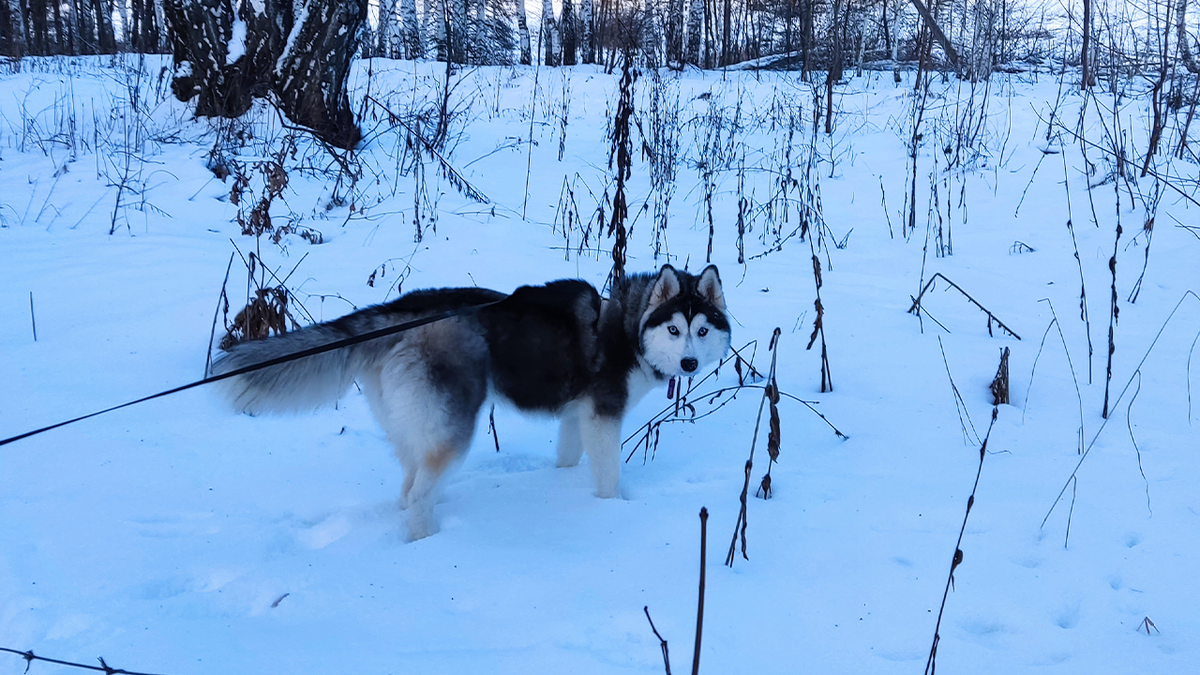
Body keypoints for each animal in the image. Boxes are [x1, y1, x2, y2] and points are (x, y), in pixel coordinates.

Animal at [211, 261, 724, 535]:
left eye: (701, 331)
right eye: (674, 329)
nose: (689, 364)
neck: (628, 327)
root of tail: (402, 310)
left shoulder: (576, 416)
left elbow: (567, 457)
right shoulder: (602, 417)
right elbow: (609, 479)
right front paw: (613, 509)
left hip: (413, 424)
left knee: (408, 485)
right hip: (455, 427)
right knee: (420, 491)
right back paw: (431, 542)